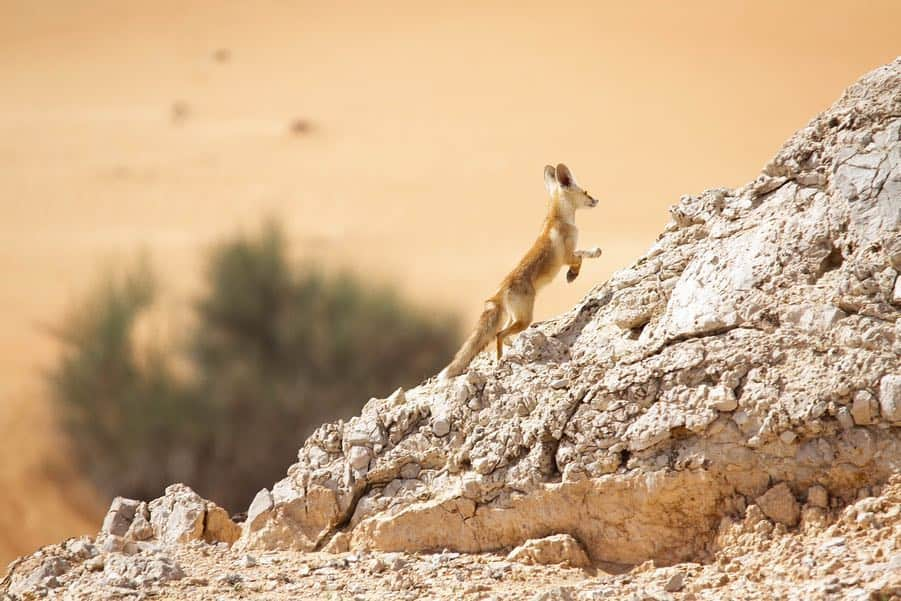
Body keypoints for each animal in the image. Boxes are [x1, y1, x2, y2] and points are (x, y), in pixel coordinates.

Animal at [440, 164, 600, 378]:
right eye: (586, 192)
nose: (596, 200)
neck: (558, 218)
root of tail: (499, 292)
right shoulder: (566, 256)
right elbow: (580, 258)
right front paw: (574, 273)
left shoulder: (569, 253)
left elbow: (583, 255)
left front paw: (589, 257)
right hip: (524, 319)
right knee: (499, 335)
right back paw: (501, 360)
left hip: (514, 318)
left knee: (500, 334)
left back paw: (510, 349)